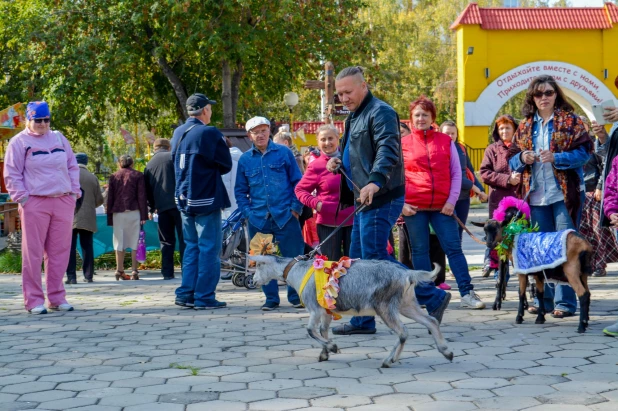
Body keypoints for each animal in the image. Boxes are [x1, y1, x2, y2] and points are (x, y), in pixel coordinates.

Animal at [247, 258, 452, 370]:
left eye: (259, 266)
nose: (253, 280)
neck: (298, 272)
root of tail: (407, 274)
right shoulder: (326, 310)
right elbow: (322, 331)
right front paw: (325, 353)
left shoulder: (314, 308)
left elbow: (311, 331)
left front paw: (332, 347)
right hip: (406, 304)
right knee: (431, 321)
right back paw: (446, 351)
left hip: (385, 306)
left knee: (403, 332)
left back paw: (389, 360)